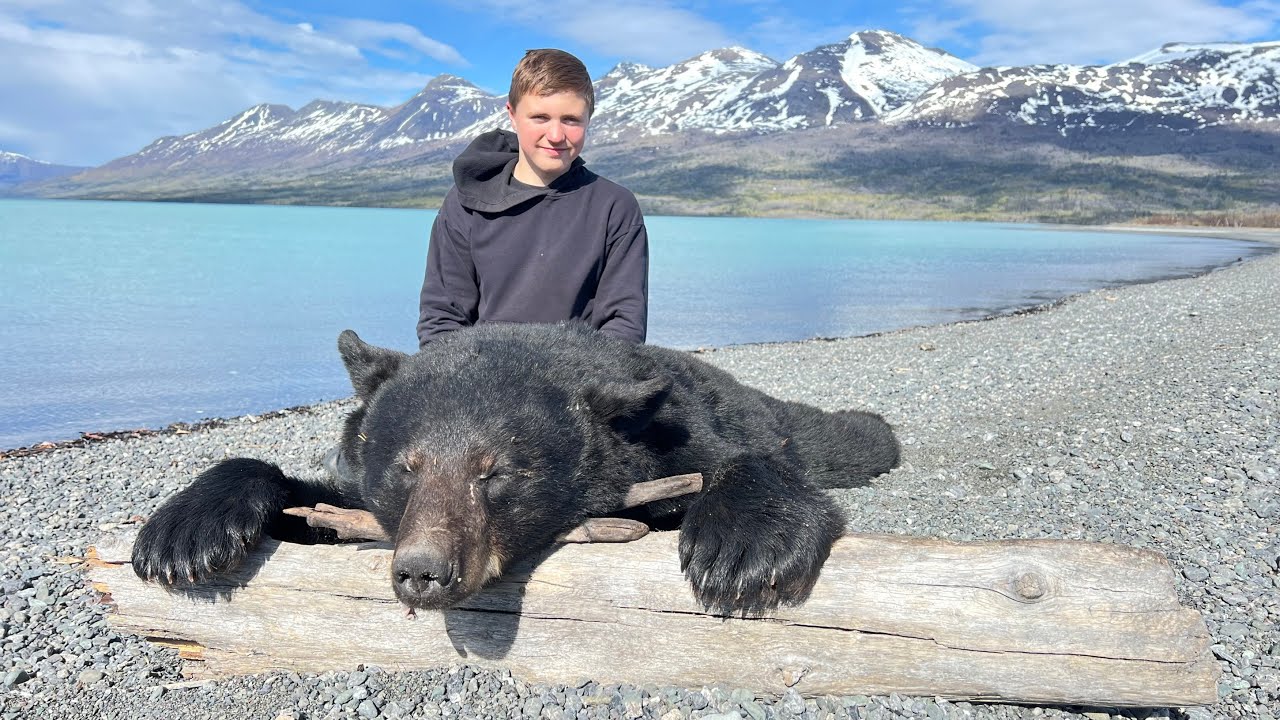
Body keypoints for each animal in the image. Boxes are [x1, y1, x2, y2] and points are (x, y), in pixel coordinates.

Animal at [132, 322, 901, 615]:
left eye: (497, 471)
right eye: (405, 468)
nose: (423, 571)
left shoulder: (679, 442)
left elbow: (738, 470)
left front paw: (745, 545)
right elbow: (309, 501)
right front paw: (184, 533)